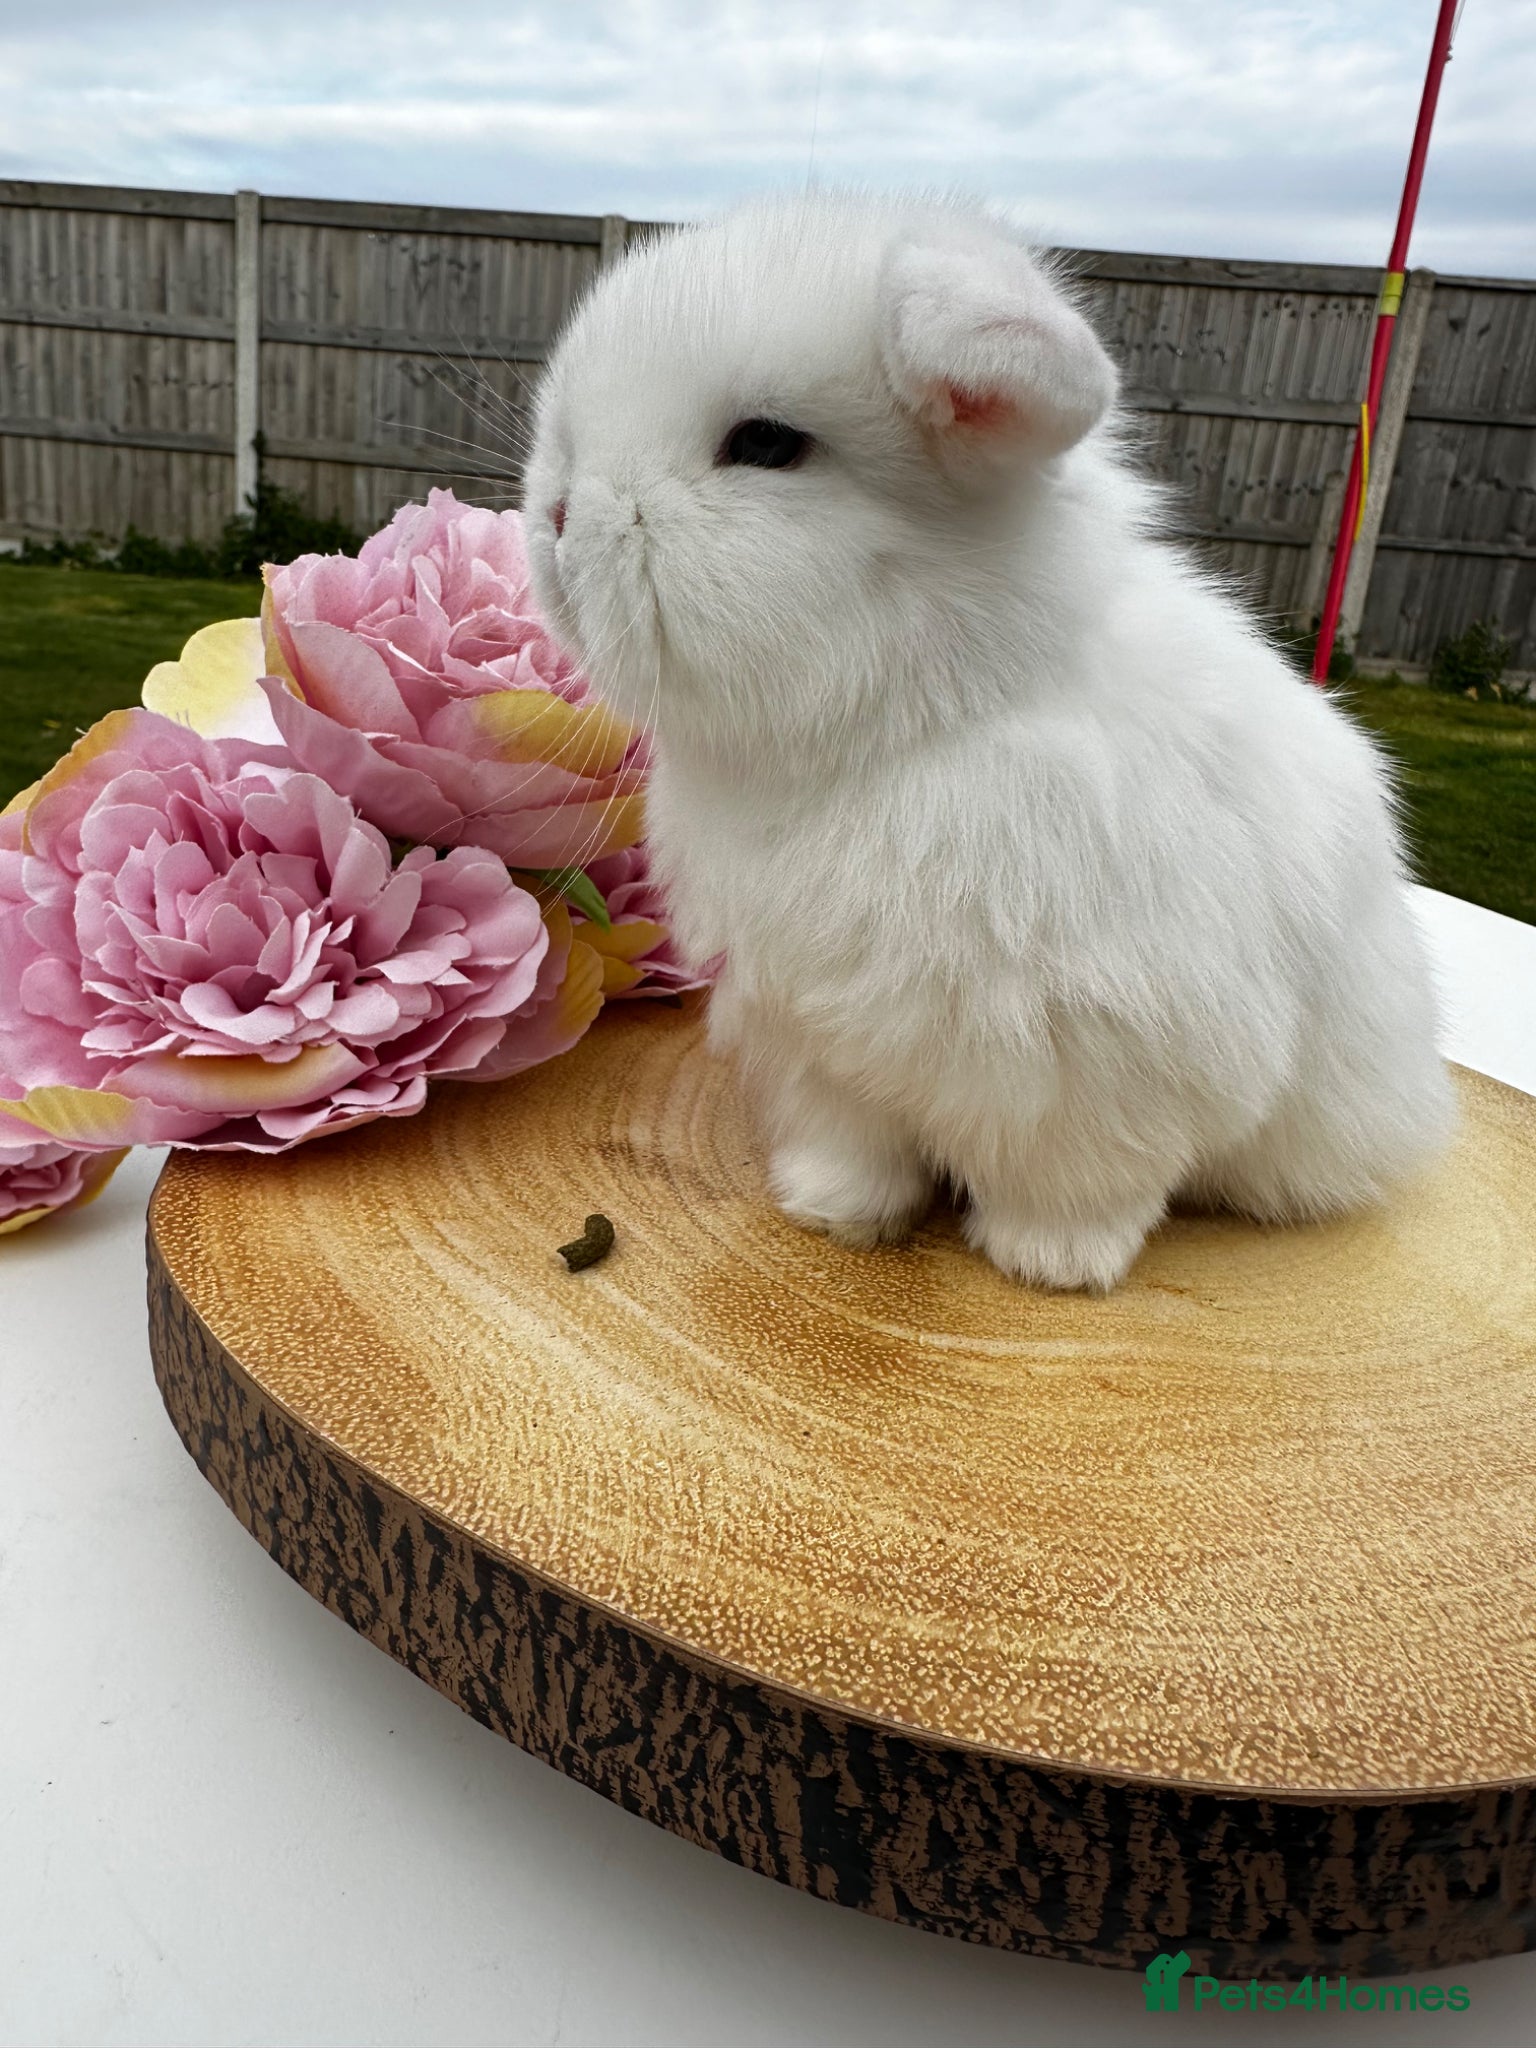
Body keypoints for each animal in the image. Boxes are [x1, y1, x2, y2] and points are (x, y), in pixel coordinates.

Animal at [523, 189, 1455, 1293]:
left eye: (766, 444)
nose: (556, 517)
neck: (905, 723)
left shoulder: (1107, 1062)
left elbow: (1081, 1182)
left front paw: (1051, 1265)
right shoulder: (820, 1041)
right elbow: (856, 1146)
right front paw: (832, 1213)